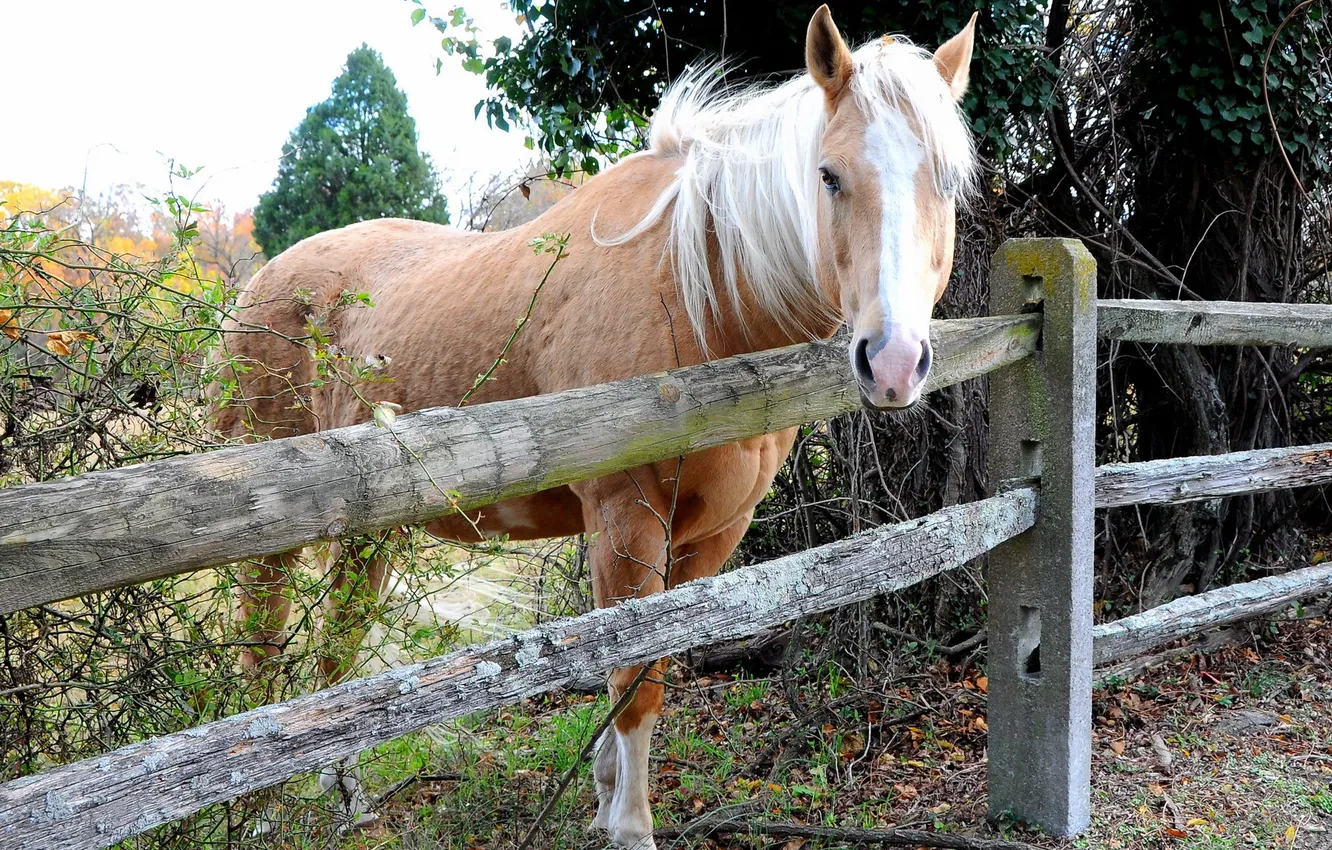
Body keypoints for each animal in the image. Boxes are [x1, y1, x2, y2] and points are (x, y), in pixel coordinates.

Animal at [216, 6, 977, 847]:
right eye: (829, 175)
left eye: (947, 181)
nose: (894, 362)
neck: (699, 299)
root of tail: (258, 280)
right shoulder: (625, 521)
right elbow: (631, 678)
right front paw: (630, 826)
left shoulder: (713, 533)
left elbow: (651, 666)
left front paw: (608, 795)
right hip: (273, 534)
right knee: (264, 640)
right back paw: (258, 810)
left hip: (370, 528)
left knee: (337, 643)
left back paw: (345, 790)